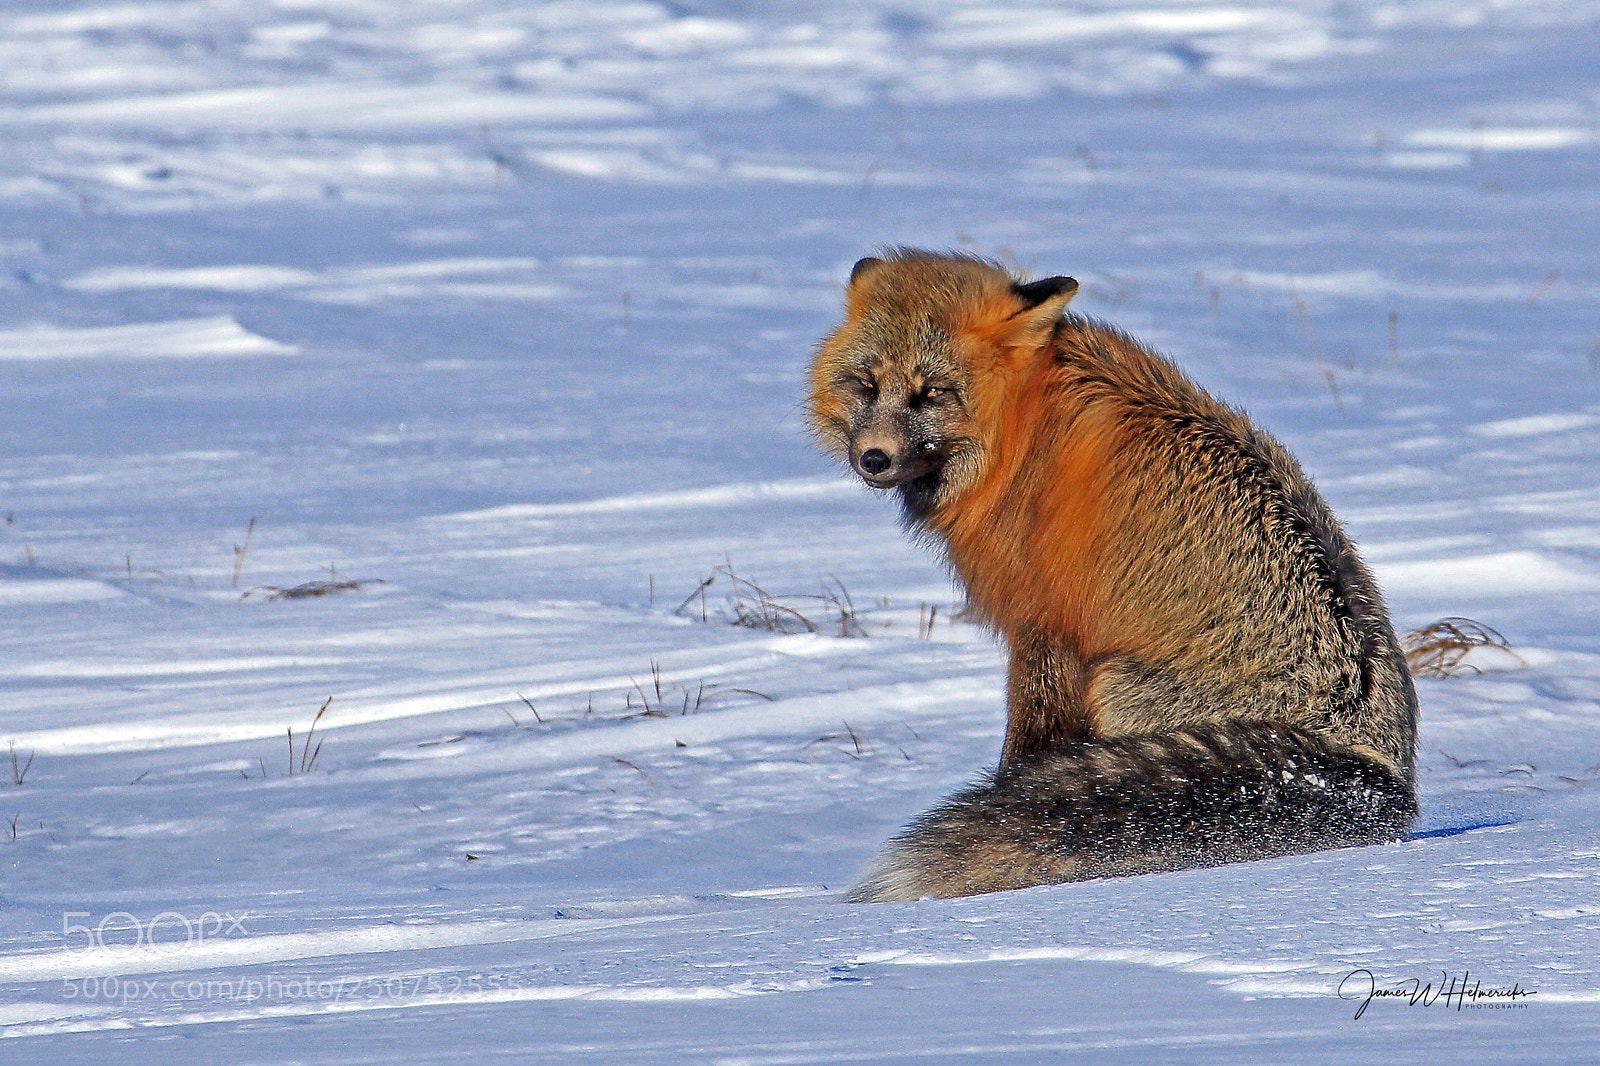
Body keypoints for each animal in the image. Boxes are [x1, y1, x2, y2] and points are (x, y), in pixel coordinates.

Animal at [808, 249, 1418, 901]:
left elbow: (1024, 752)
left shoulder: (1044, 629)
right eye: (866, 384)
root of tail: (1379, 772)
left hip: (1114, 684)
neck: (1022, 430)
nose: (873, 459)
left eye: (932, 393)